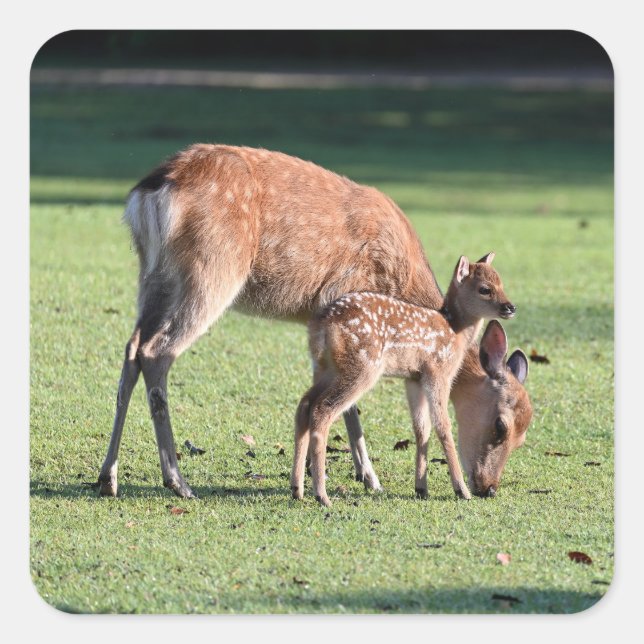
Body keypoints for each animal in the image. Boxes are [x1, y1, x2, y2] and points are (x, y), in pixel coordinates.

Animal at [291, 254, 518, 507]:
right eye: (485, 289)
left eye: (501, 283)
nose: (510, 307)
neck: (455, 330)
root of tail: (321, 325)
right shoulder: (438, 371)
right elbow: (443, 427)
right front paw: (461, 490)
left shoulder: (414, 378)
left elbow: (421, 429)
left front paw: (421, 488)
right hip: (362, 366)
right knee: (323, 410)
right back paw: (322, 495)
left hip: (326, 368)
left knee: (304, 405)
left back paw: (297, 489)